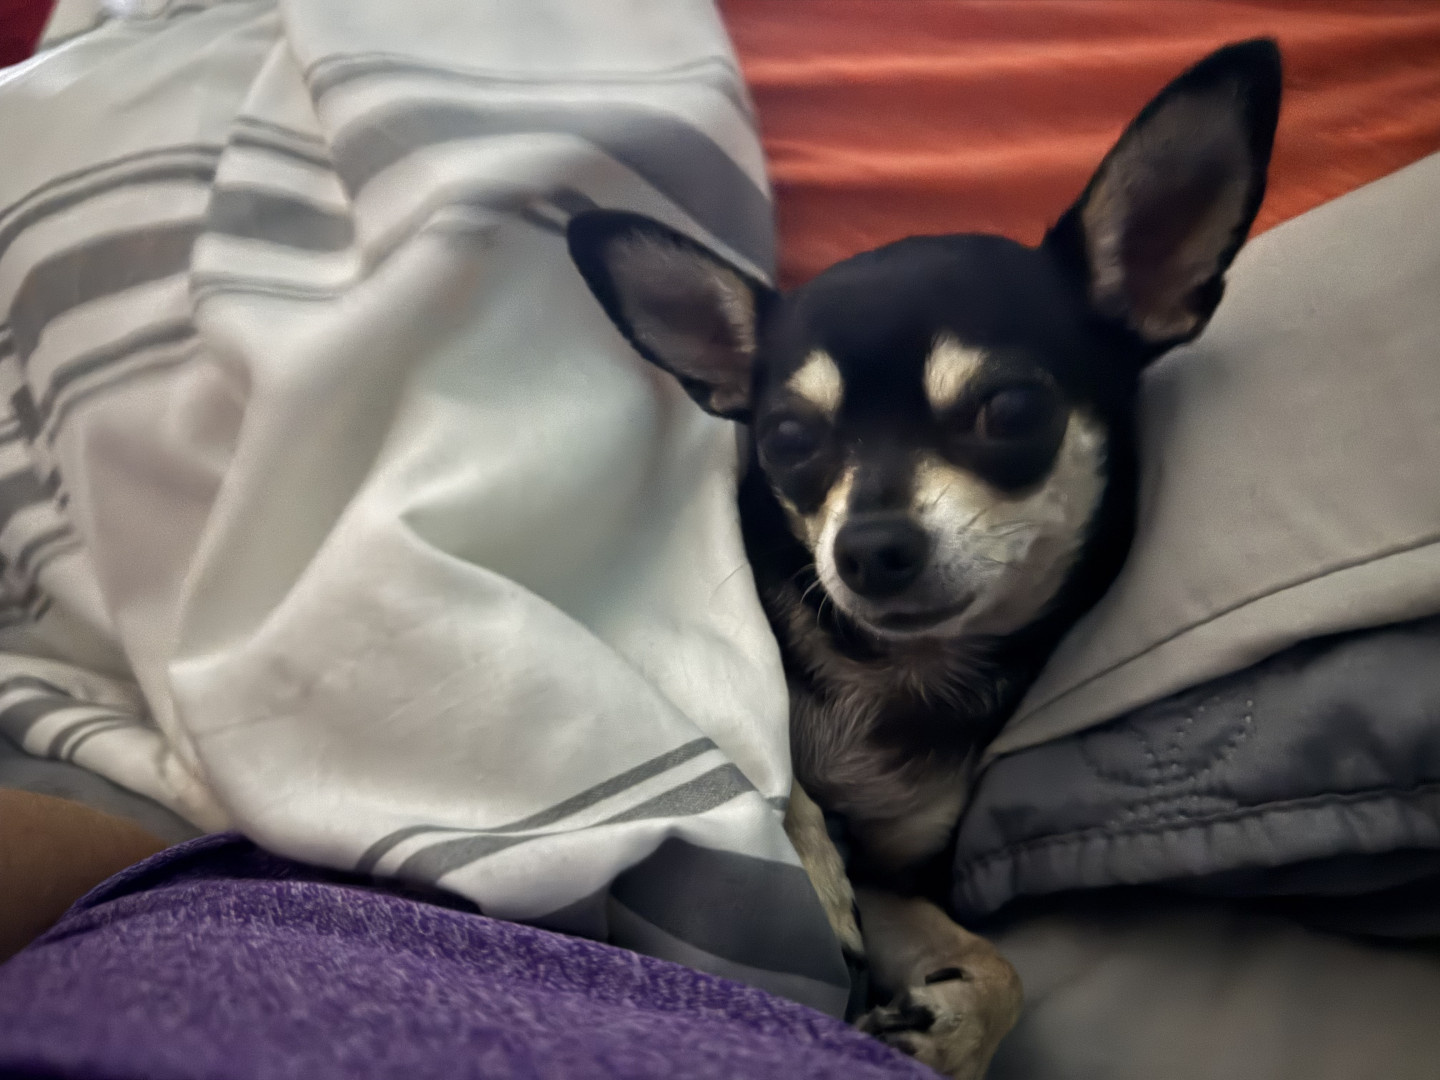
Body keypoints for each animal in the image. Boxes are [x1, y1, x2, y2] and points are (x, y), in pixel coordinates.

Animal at [568, 39, 1282, 1079]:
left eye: (1012, 410)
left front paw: (950, 1029)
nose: (866, 547)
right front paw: (809, 864)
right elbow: (775, 775)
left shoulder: (900, 876)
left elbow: (999, 967)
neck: (889, 675)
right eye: (786, 438)